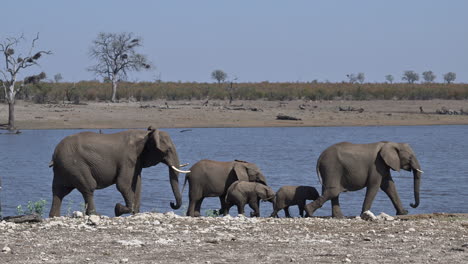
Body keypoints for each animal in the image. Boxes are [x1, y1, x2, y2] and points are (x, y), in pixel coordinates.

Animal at [49, 127, 190, 218]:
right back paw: (96, 215)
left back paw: (54, 216)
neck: (145, 134)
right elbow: (123, 185)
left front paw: (135, 213)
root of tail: (55, 154)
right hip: (76, 165)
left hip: (64, 168)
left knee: (59, 191)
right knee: (88, 187)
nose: (171, 203)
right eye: (168, 150)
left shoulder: (137, 160)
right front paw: (118, 209)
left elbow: (137, 184)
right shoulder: (127, 158)